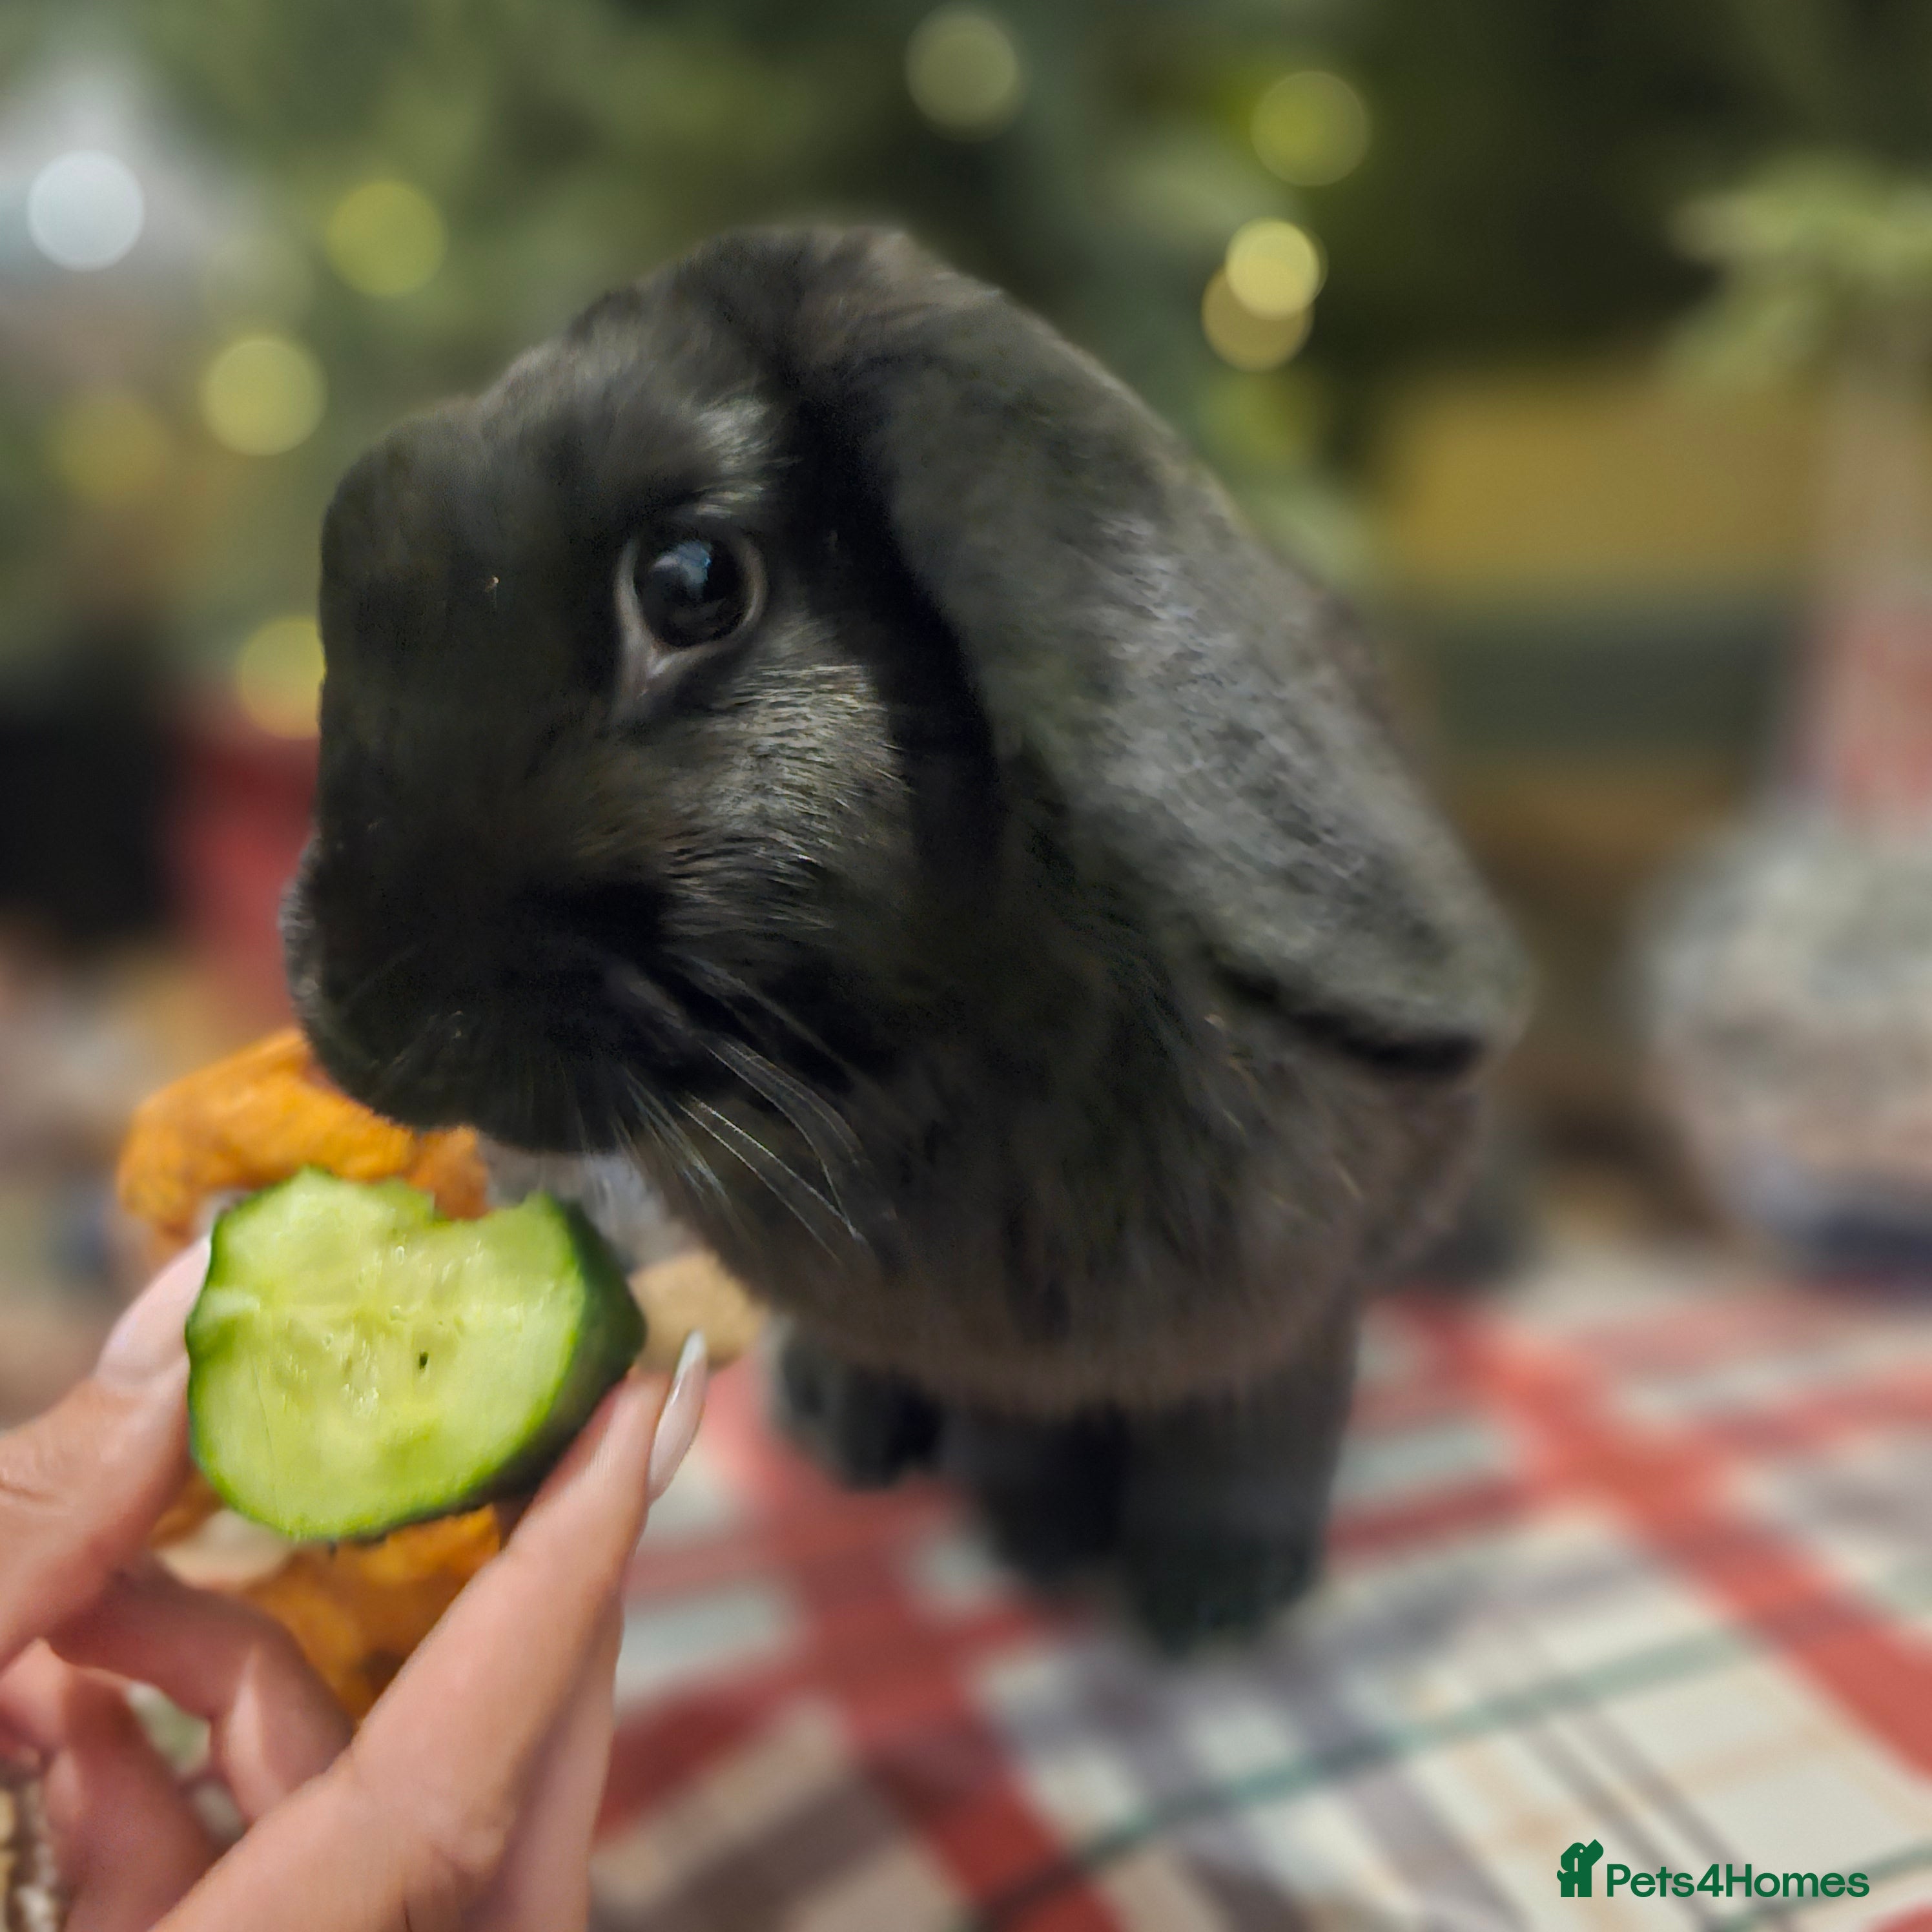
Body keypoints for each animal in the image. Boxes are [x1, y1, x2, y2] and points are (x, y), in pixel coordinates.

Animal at [284, 226, 1528, 1647]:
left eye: (691, 580)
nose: (358, 1015)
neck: (885, 1077)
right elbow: (1017, 1427)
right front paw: (1036, 1536)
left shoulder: (1292, 1301)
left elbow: (1254, 1415)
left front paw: (1211, 1597)